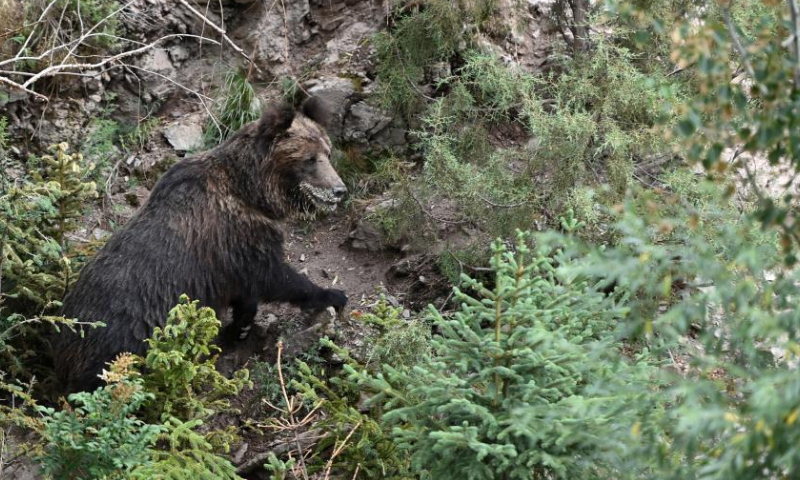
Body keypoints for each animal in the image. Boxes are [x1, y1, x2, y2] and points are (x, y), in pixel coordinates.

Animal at [53, 97, 348, 393]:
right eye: (310, 159)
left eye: (328, 152)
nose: (339, 190)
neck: (252, 193)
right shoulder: (236, 236)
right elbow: (275, 277)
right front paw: (333, 294)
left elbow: (248, 291)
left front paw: (240, 325)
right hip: (123, 343)